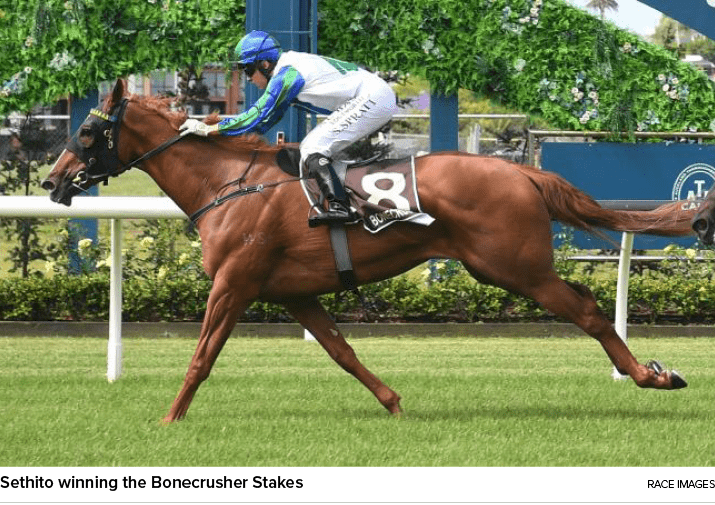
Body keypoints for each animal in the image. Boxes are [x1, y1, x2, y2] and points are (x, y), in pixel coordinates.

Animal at [42, 81, 696, 422]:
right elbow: (342, 351)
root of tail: (524, 173)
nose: (52, 181)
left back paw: (650, 376)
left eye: (87, 132)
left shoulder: (234, 283)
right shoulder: (294, 293)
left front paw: (170, 418)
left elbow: (202, 357)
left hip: (514, 269)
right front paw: (394, 403)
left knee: (586, 310)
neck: (229, 184)